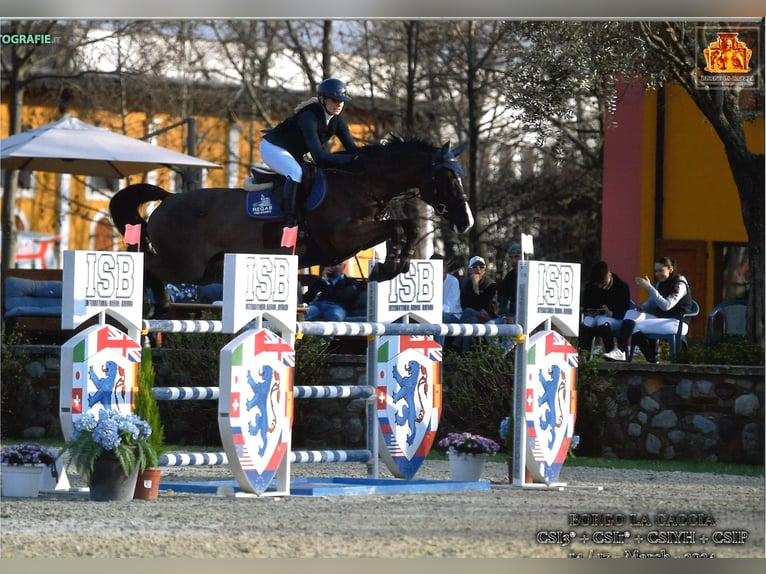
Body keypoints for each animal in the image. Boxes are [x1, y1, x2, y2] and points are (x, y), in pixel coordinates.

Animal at [108, 136, 474, 316]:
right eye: (445, 178)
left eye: (460, 175)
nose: (466, 221)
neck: (360, 183)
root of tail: (169, 198)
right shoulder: (342, 239)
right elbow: (397, 228)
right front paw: (388, 267)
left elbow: (406, 227)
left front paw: (398, 265)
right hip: (185, 265)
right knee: (148, 263)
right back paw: (156, 302)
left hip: (207, 270)